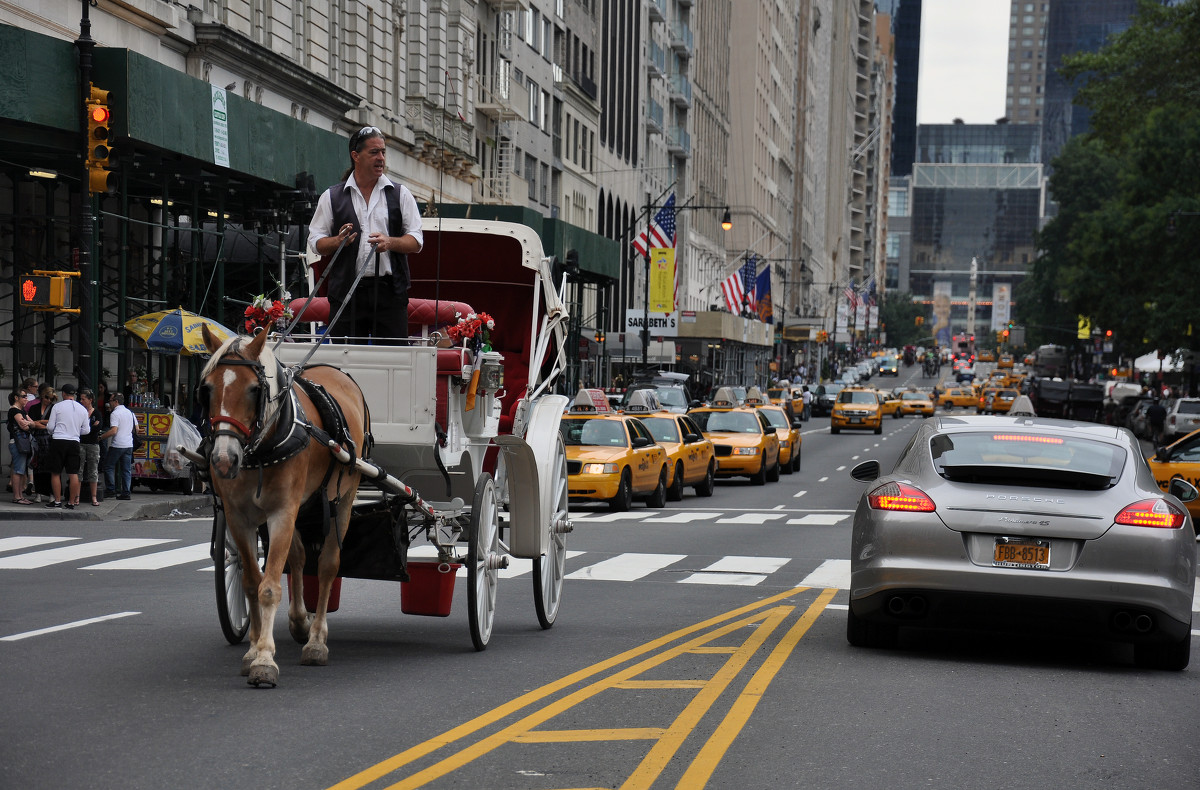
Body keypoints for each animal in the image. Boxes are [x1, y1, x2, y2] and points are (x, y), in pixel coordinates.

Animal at [199, 324, 367, 681]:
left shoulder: (282, 512)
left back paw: (316, 641)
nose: (223, 460)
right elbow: (252, 582)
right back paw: (300, 621)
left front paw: (264, 659)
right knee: (300, 557)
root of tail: (335, 371)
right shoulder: (239, 517)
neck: (262, 449)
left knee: (328, 564)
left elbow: (270, 587)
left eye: (253, 390)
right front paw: (252, 650)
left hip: (342, 498)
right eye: (207, 388)